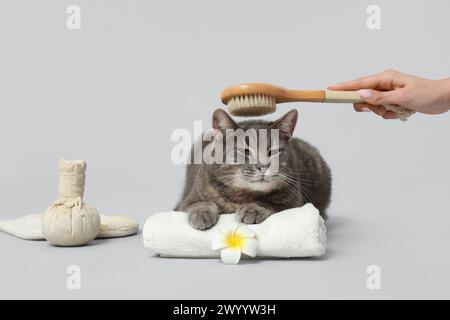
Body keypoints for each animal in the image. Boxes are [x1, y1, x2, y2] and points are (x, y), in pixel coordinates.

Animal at [175, 109, 330, 229]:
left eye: (273, 152)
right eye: (245, 151)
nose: (263, 166)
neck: (243, 196)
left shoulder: (294, 204)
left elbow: (269, 202)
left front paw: (252, 209)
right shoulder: (186, 201)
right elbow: (198, 203)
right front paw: (202, 214)